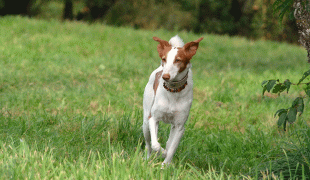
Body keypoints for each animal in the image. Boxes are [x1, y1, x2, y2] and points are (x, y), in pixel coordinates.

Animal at [143, 34, 203, 166]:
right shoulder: (153, 118)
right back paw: (148, 158)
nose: (165, 76)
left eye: (178, 60)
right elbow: (155, 145)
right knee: (148, 144)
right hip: (145, 122)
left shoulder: (179, 127)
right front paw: (162, 153)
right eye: (164, 59)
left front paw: (164, 166)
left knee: (168, 143)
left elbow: (171, 149)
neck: (173, 91)